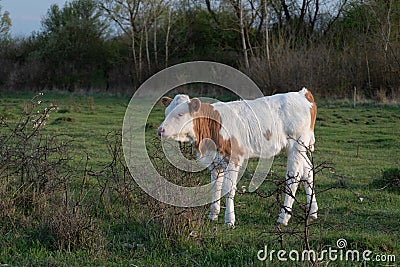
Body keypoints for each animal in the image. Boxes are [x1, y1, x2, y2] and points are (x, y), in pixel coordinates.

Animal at [158, 89, 318, 227]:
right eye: (166, 112)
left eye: (180, 114)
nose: (160, 130)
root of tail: (302, 94)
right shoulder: (215, 161)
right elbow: (216, 186)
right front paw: (213, 215)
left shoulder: (233, 158)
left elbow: (228, 188)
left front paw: (229, 220)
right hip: (300, 149)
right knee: (308, 172)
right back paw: (312, 212)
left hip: (296, 146)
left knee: (293, 178)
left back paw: (283, 218)